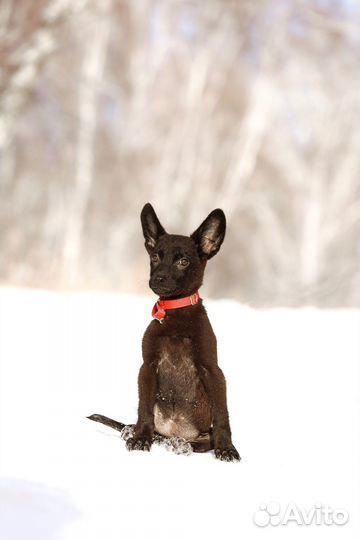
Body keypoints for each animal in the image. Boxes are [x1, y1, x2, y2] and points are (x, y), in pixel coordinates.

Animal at [87, 205, 240, 462]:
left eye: (183, 261)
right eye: (155, 257)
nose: (158, 278)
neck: (175, 314)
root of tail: (174, 431)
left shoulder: (213, 370)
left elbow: (222, 415)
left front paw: (226, 448)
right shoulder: (147, 367)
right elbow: (144, 410)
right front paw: (140, 439)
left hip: (200, 433)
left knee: (200, 441)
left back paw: (180, 444)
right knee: (150, 429)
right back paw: (136, 432)